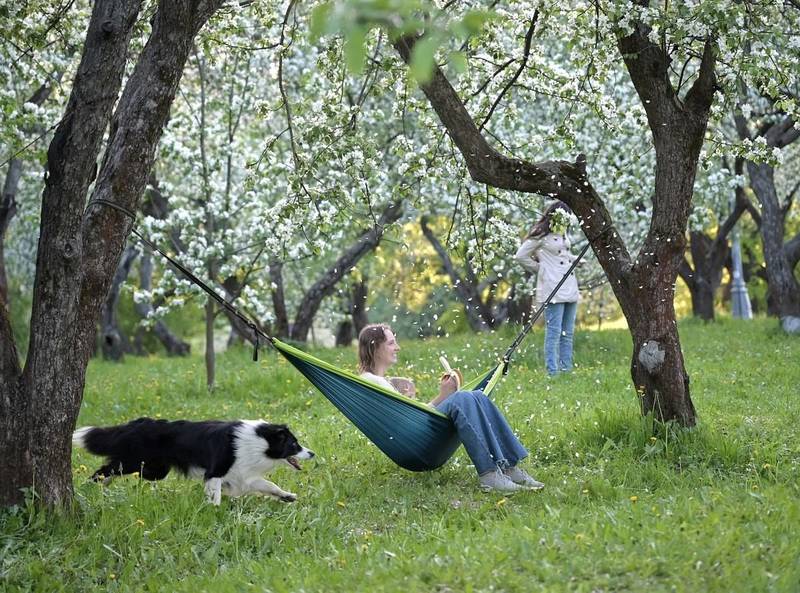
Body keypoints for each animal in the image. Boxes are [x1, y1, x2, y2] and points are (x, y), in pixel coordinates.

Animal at [72, 416, 314, 504]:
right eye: (294, 445)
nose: (312, 453)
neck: (260, 441)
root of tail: (137, 423)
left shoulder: (243, 475)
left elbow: (269, 485)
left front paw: (286, 496)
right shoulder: (216, 472)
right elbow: (215, 496)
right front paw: (214, 512)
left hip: (155, 470)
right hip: (134, 461)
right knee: (105, 469)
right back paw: (90, 487)